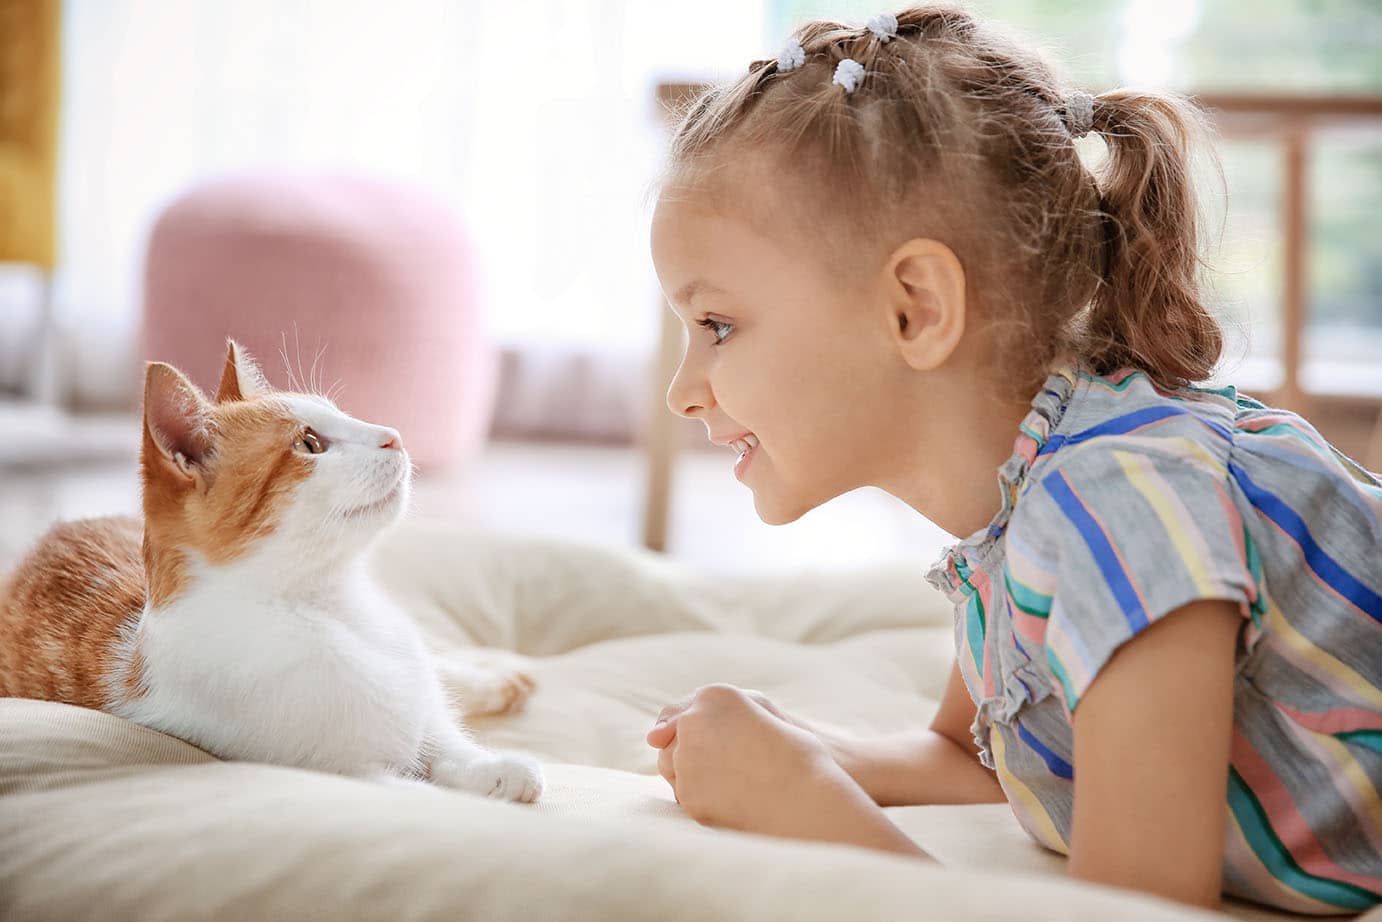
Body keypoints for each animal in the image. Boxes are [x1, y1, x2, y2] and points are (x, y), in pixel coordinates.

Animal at [0, 338, 544, 801]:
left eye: (341, 414)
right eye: (310, 444)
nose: (394, 436)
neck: (332, 608)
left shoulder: (421, 710)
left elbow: (445, 743)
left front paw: (495, 767)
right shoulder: (348, 772)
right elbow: (421, 789)